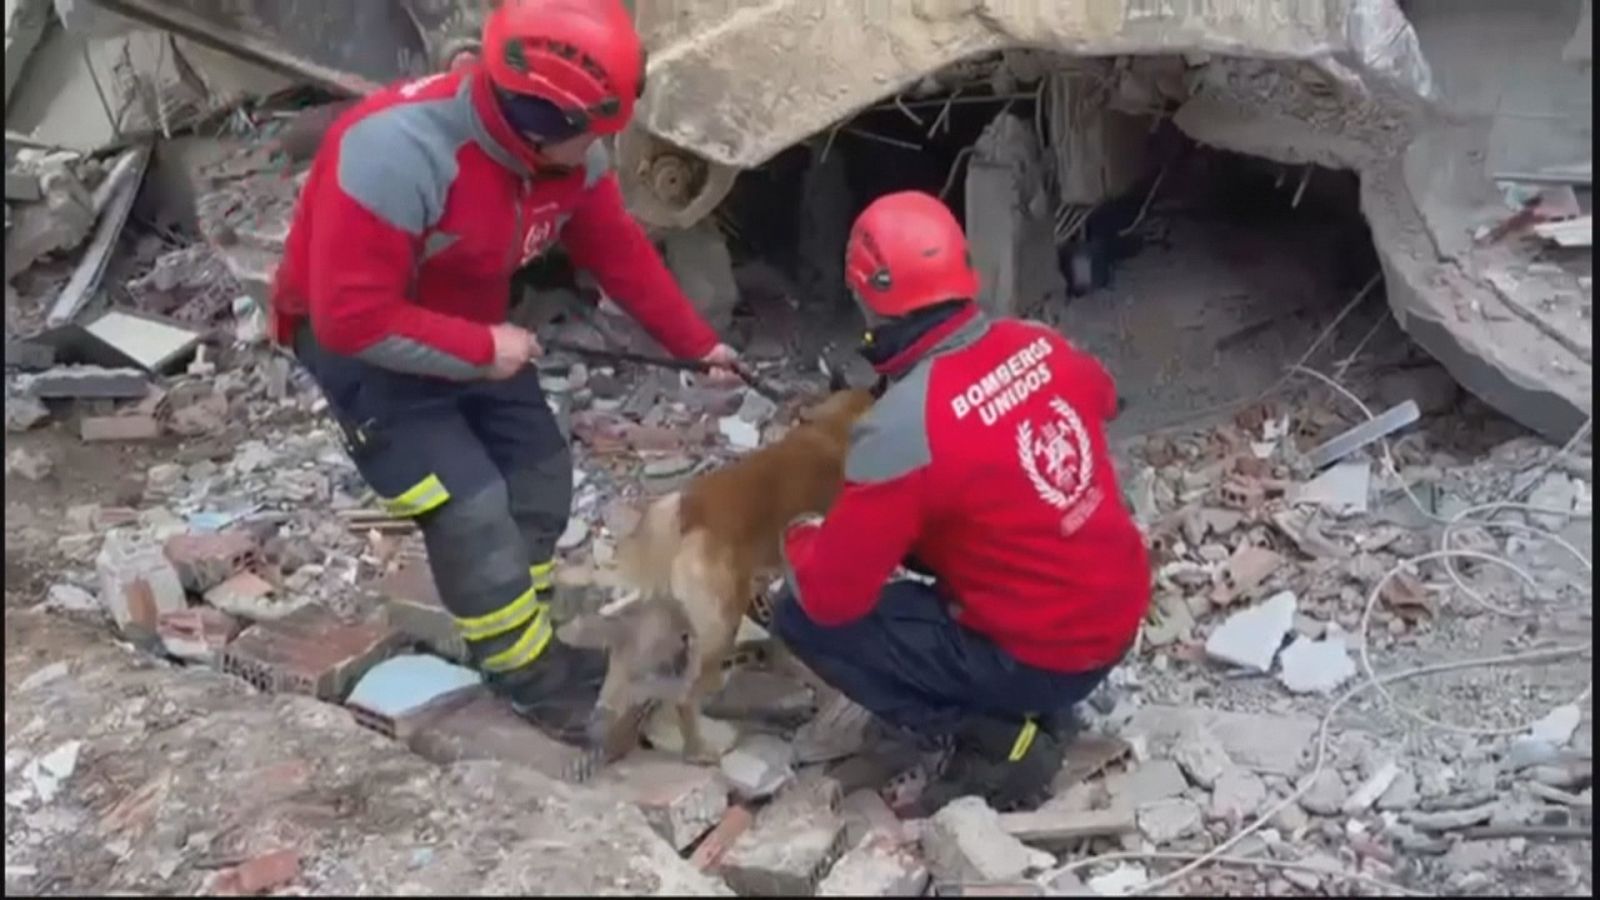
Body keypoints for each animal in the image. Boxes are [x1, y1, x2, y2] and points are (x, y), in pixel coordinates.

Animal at [566, 385, 876, 755]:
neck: (834, 429)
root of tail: (687, 515)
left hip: (663, 622)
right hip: (719, 630)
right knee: (686, 697)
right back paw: (700, 750)